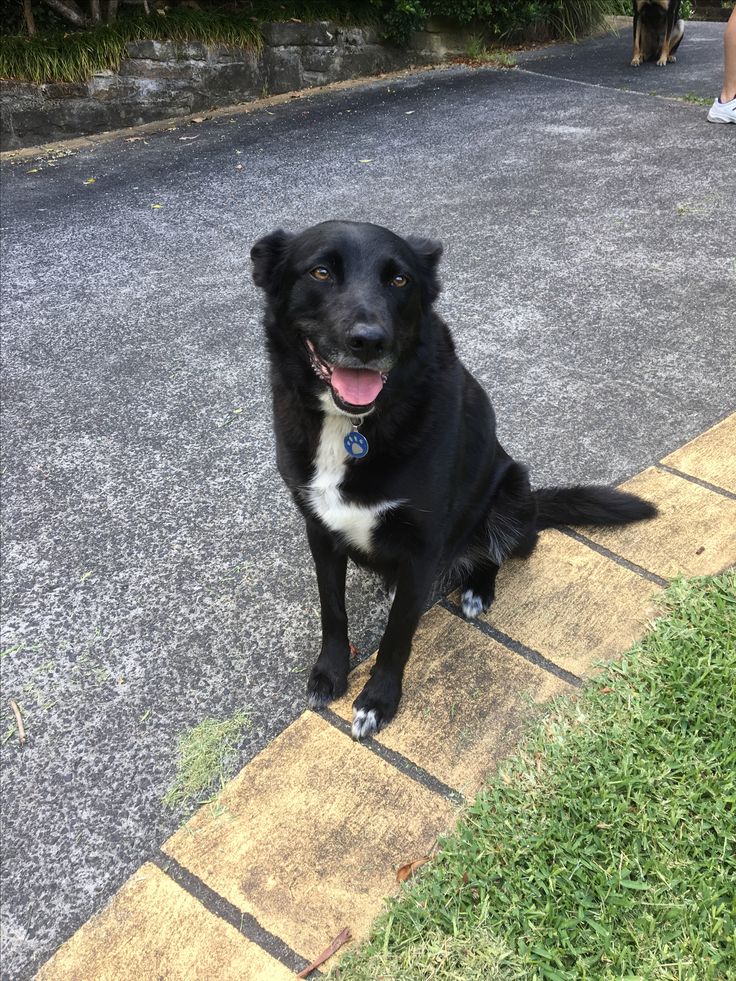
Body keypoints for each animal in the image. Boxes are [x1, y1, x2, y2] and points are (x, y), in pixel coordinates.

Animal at [252, 222, 656, 740]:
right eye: (320, 271)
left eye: (399, 280)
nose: (369, 341)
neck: (353, 426)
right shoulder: (320, 530)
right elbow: (332, 611)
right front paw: (330, 673)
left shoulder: (423, 547)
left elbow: (398, 633)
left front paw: (378, 701)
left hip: (512, 491)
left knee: (499, 552)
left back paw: (477, 588)